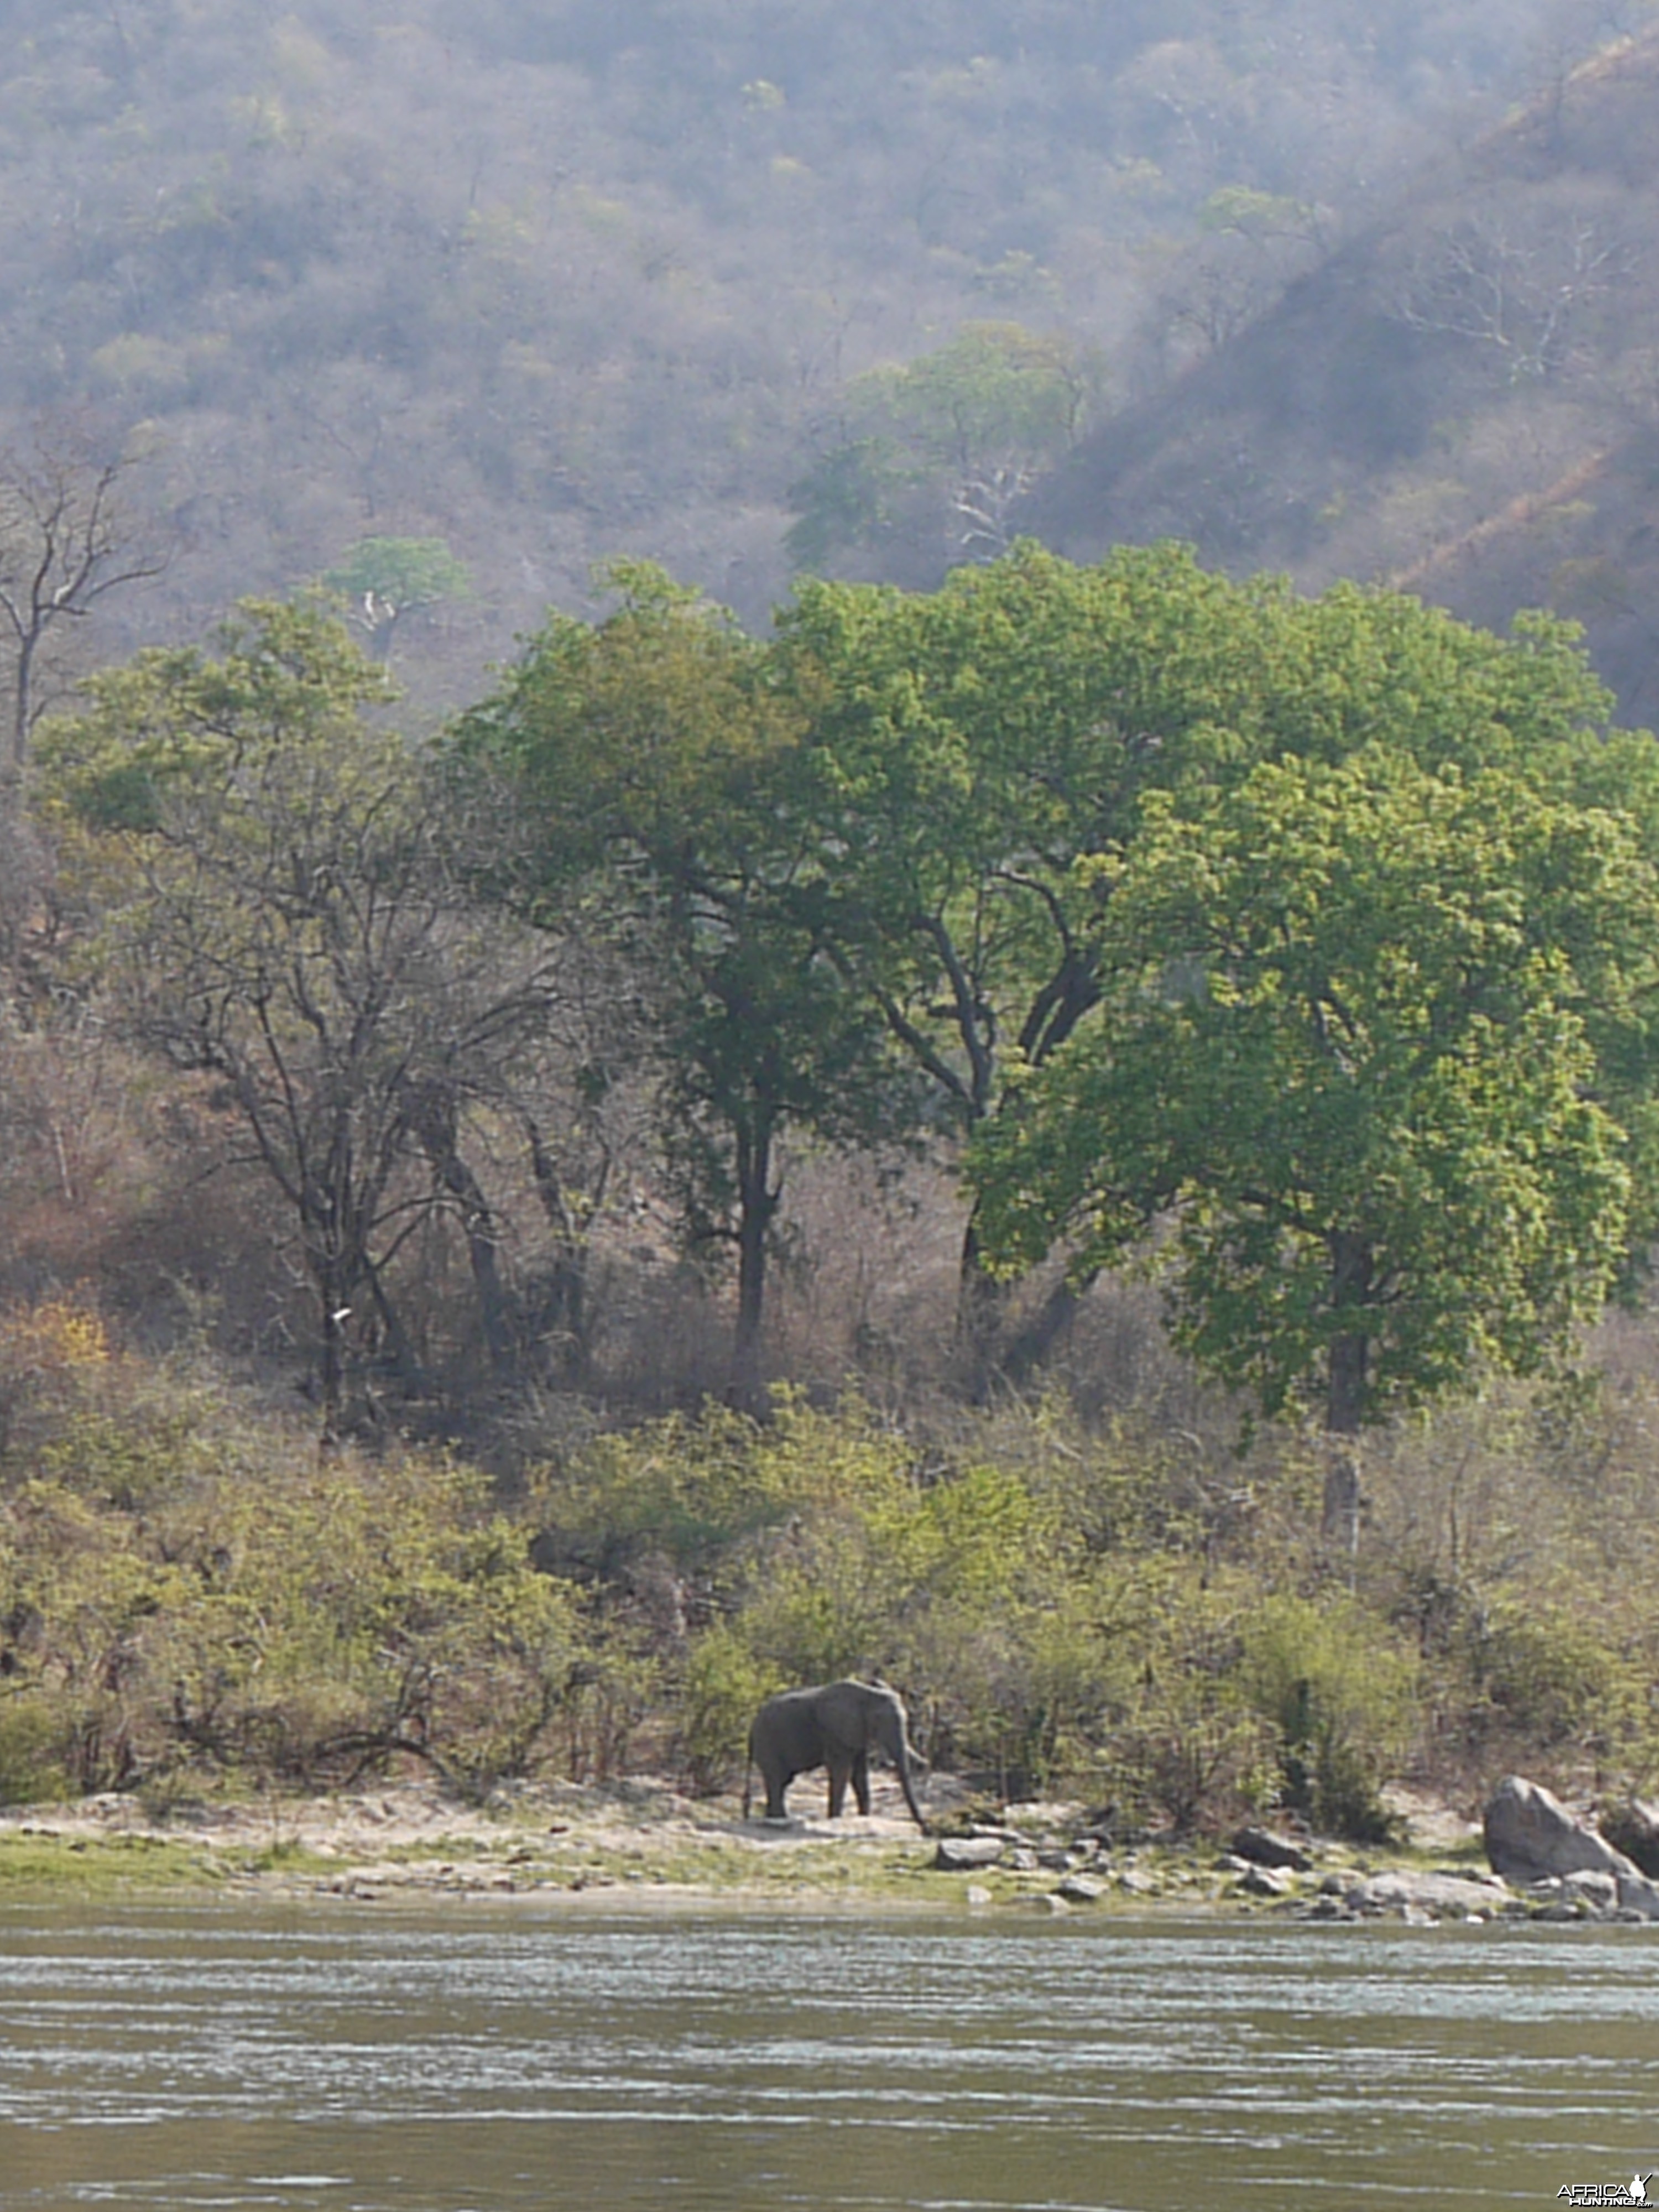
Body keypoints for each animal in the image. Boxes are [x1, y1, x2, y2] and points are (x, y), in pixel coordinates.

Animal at [743, 1672, 929, 1832]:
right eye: (879, 1721)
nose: (926, 1829)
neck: (867, 1694)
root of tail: (751, 1729)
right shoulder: (835, 1731)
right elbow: (842, 1772)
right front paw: (835, 1819)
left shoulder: (856, 1733)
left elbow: (860, 1776)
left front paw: (863, 1818)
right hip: (767, 1743)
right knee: (776, 1780)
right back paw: (780, 1820)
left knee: (781, 1782)